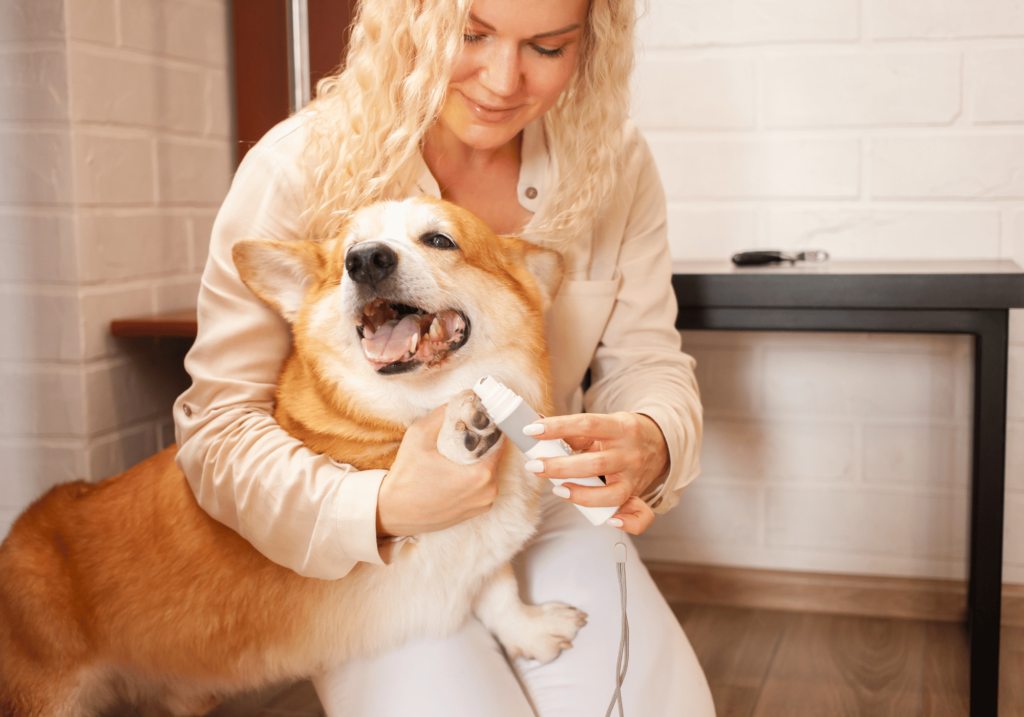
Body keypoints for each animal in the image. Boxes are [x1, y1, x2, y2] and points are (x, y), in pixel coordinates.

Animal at [0, 195, 585, 717]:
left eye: (439, 240)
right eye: (348, 250)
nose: (366, 260)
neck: (396, 415)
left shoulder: (477, 552)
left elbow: (495, 582)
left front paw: (529, 627)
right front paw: (460, 430)